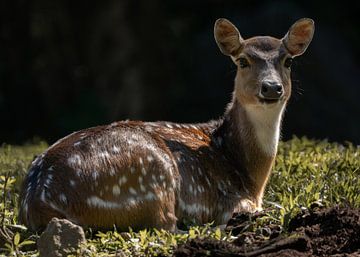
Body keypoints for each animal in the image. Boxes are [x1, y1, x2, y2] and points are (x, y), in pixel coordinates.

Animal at [18, 17, 314, 231]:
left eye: (288, 61)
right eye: (243, 61)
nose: (271, 87)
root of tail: (37, 201)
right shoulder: (234, 201)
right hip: (153, 174)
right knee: (166, 226)